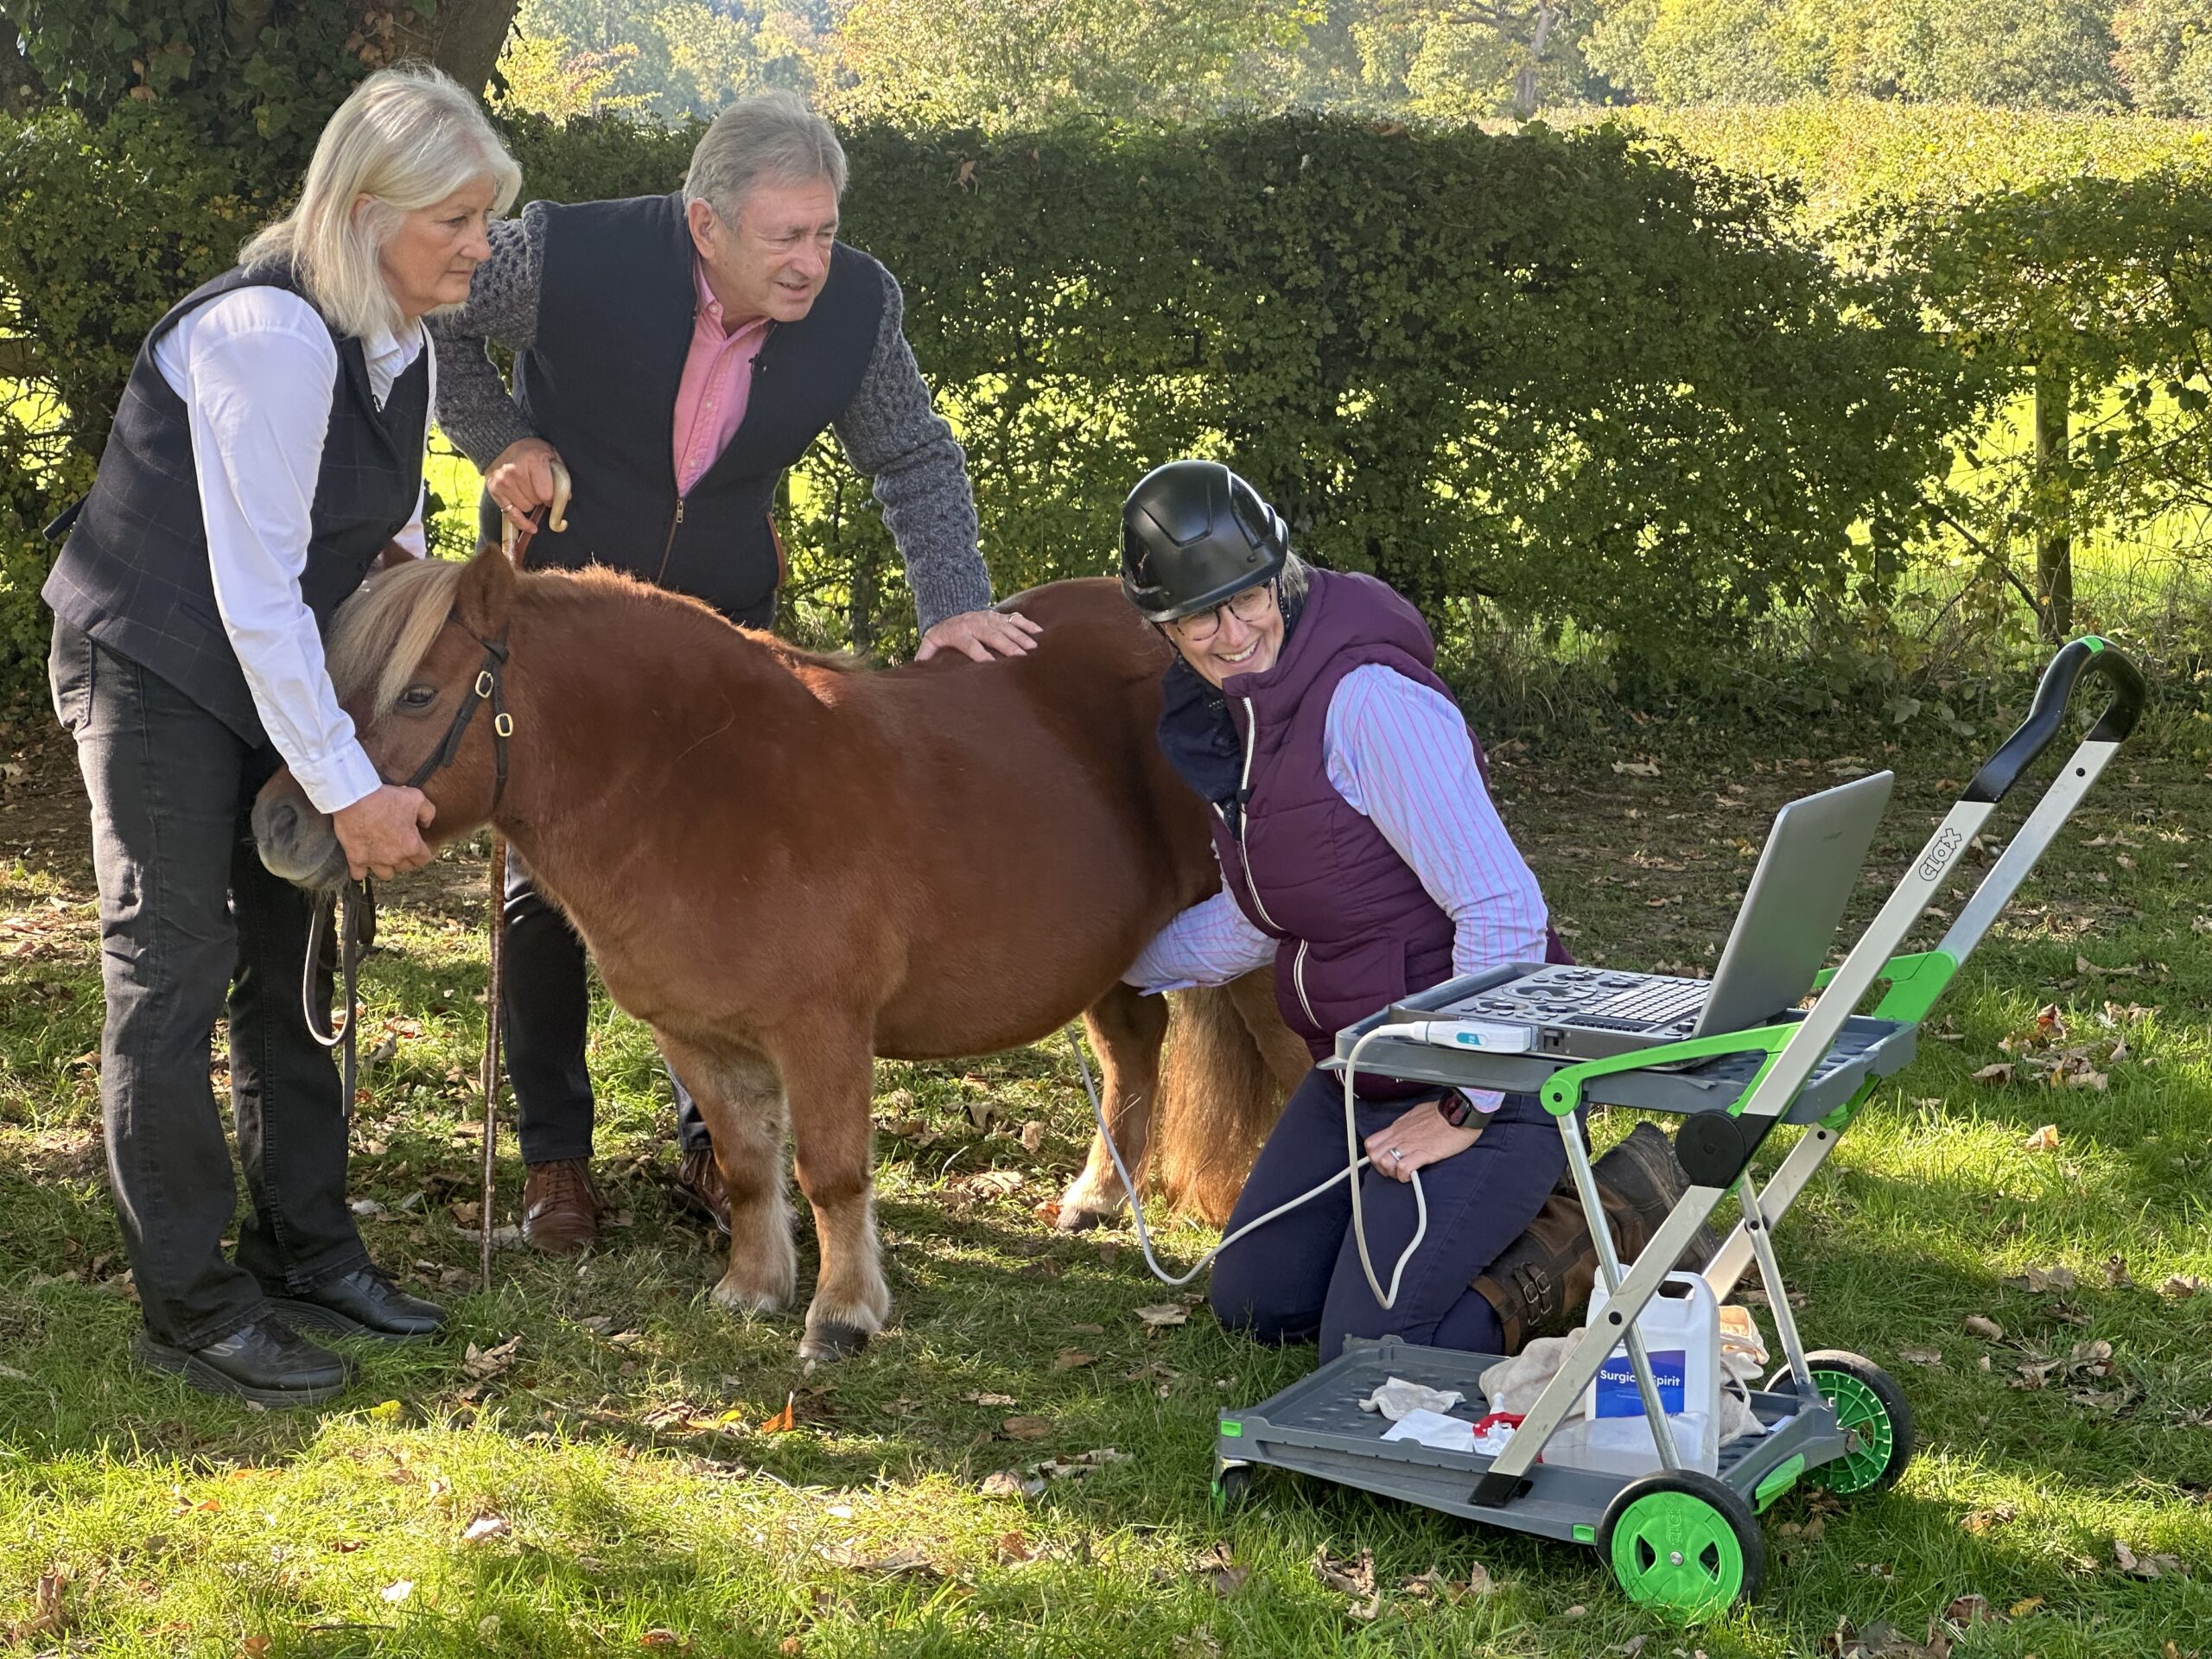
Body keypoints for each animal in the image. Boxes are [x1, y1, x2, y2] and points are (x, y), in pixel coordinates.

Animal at [251, 547, 1306, 1361]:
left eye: (418, 693)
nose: (279, 826)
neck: (707, 782)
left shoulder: (822, 1033)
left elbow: (831, 1175)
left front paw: (841, 1315)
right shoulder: (699, 1039)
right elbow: (752, 1166)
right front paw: (752, 1289)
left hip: (1256, 955)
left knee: (1295, 1067)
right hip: (1121, 954)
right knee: (1134, 1052)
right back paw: (1095, 1198)